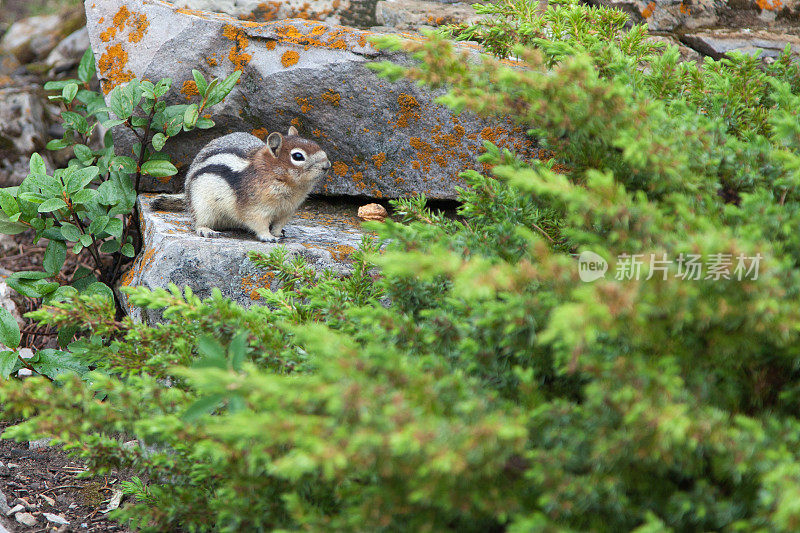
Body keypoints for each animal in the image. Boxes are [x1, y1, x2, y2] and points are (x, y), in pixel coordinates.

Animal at [152, 125, 330, 242]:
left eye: (315, 144)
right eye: (298, 156)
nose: (327, 165)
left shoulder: (286, 211)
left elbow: (279, 224)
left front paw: (278, 233)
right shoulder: (255, 208)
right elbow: (258, 223)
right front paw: (268, 237)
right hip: (201, 206)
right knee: (197, 222)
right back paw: (206, 230)